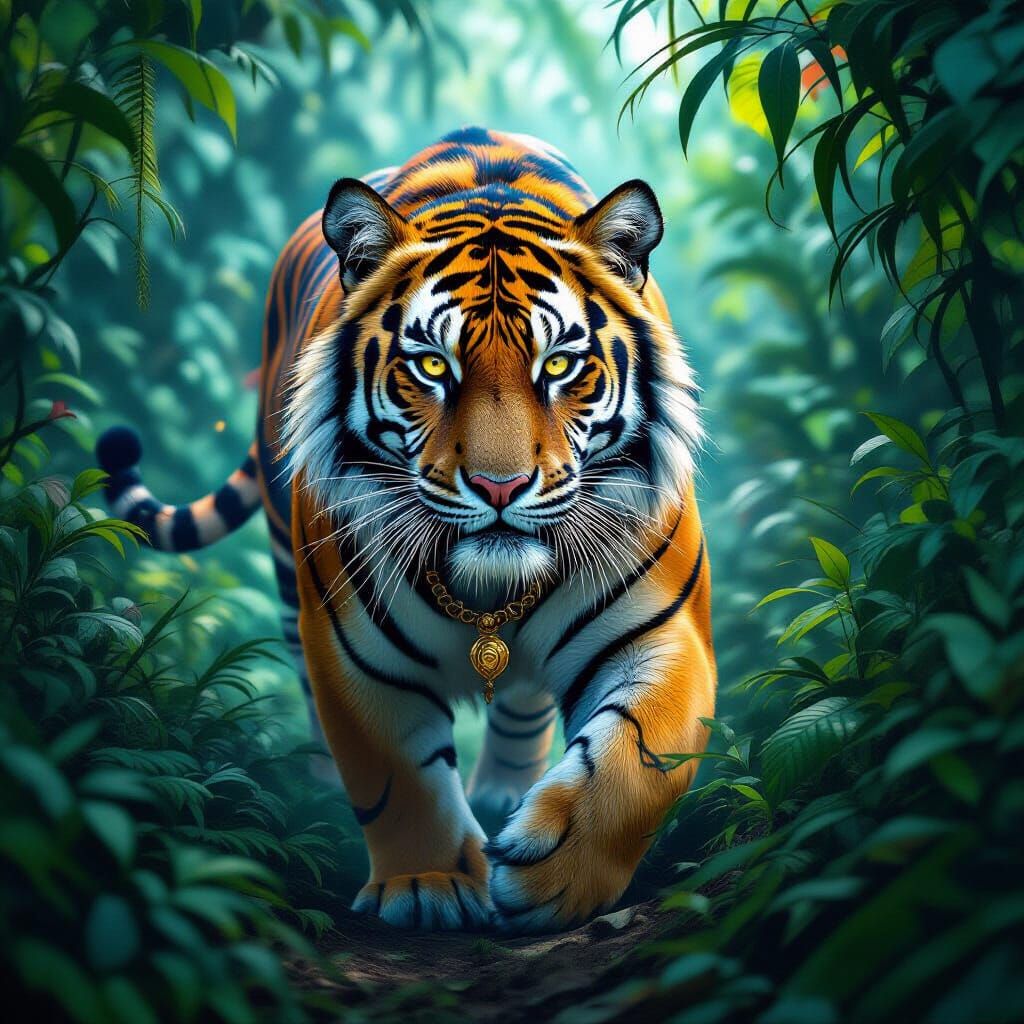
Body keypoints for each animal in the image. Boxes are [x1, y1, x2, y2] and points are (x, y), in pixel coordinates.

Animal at [96, 126, 716, 934]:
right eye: (430, 366)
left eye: (558, 366)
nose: (499, 486)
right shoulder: (355, 652)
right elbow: (398, 775)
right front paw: (426, 885)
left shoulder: (665, 634)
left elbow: (639, 760)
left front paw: (560, 880)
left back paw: (502, 794)